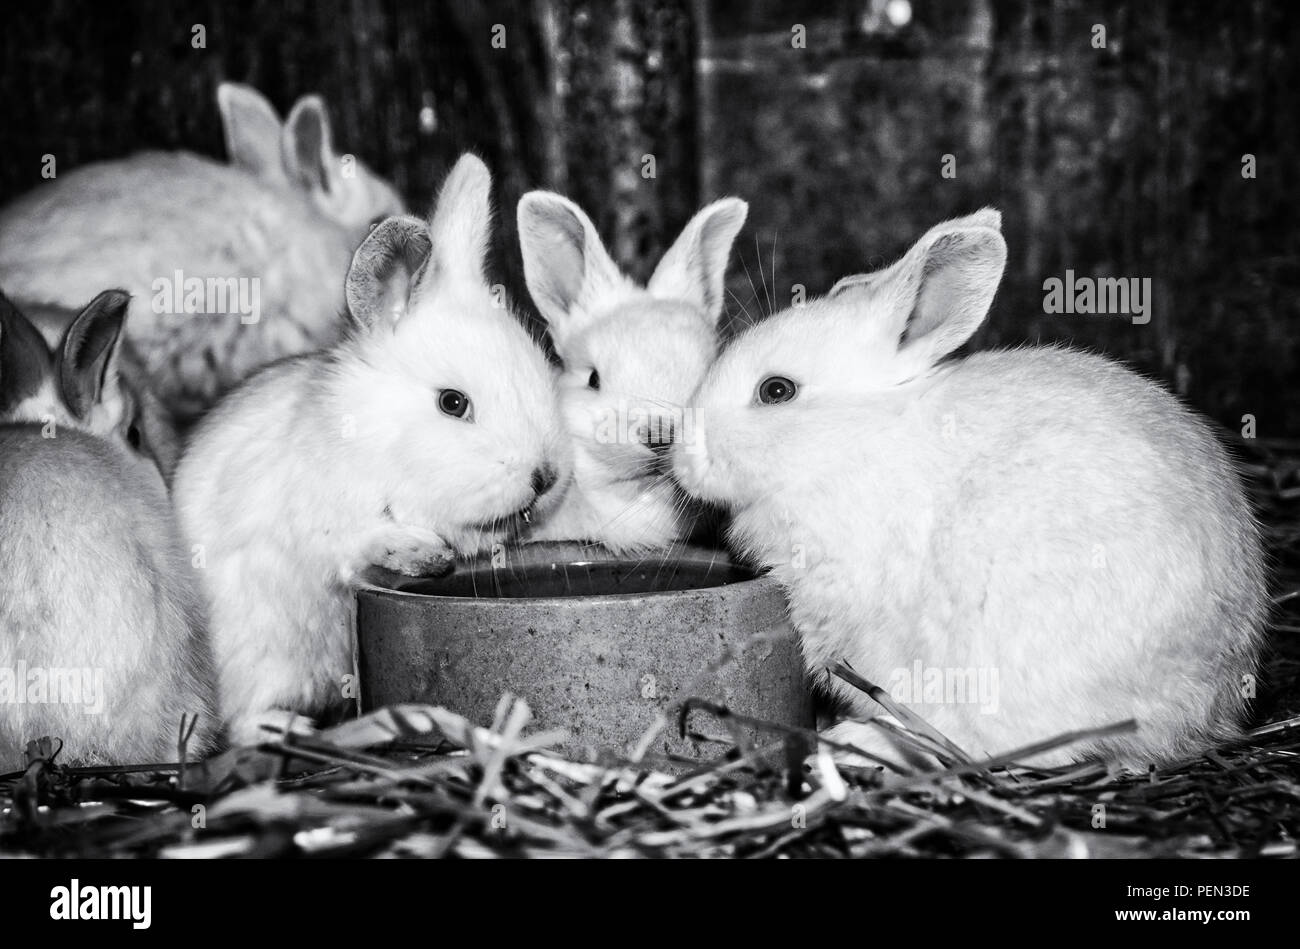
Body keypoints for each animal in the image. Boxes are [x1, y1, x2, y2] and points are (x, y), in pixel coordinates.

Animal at [176, 155, 569, 743]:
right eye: (453, 403)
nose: (544, 477)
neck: (374, 441)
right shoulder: (321, 522)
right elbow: (358, 542)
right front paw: (420, 552)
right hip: (261, 660)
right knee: (248, 725)